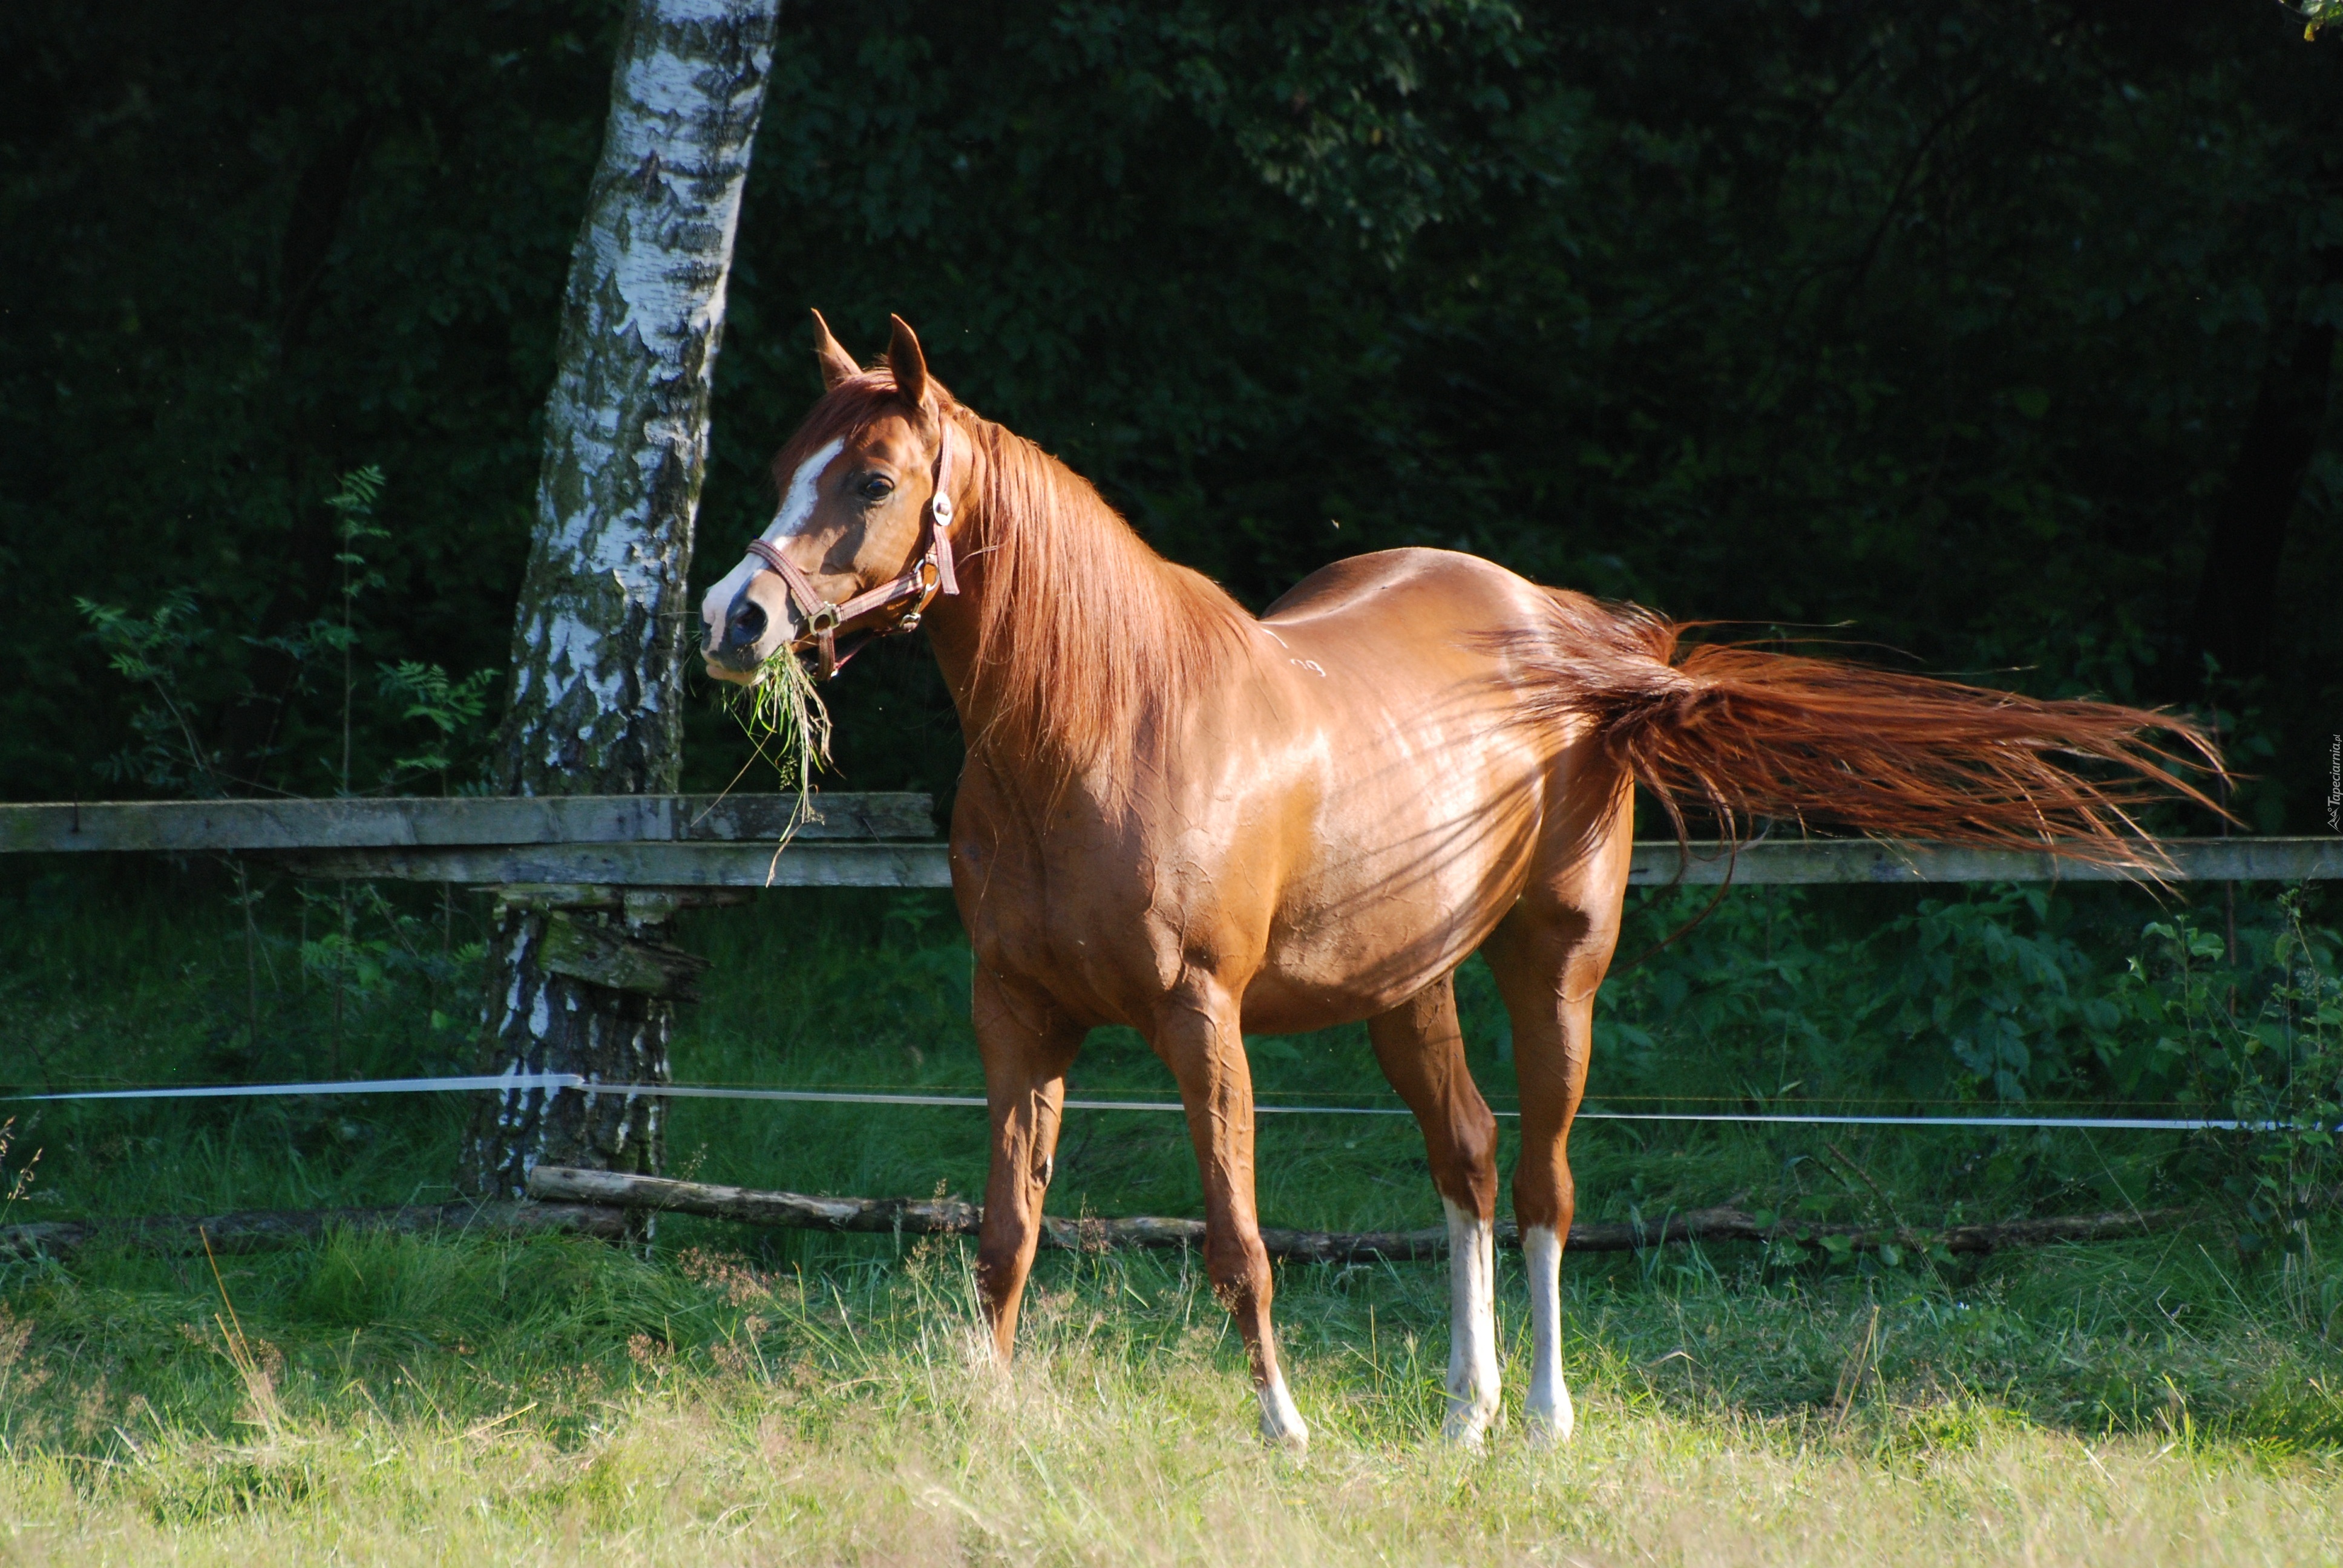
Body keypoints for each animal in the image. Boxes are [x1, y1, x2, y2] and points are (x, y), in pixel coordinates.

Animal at [693, 312, 2212, 1453]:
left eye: (872, 480)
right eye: (782, 464)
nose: (734, 618)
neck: (1108, 725)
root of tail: (1585, 640)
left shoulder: (1201, 1020)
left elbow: (1237, 1238)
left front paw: (1285, 1429)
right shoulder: (1017, 1017)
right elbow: (1008, 1230)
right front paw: (986, 1410)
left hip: (1557, 968)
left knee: (1542, 1181)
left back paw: (1538, 1413)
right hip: (1404, 983)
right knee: (1468, 1155)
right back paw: (1462, 1411)